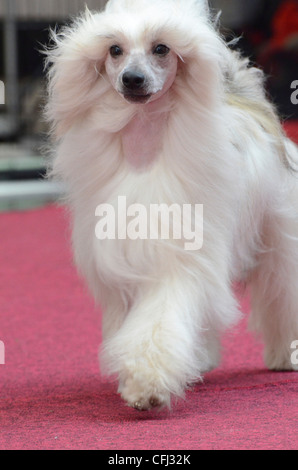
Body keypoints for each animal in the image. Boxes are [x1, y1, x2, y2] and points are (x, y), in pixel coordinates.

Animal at [44, 0, 298, 412]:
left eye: (160, 48)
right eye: (114, 50)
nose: (132, 79)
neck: (144, 151)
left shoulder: (178, 262)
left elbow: (158, 323)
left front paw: (146, 384)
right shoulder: (125, 265)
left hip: (279, 240)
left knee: (282, 292)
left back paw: (285, 356)